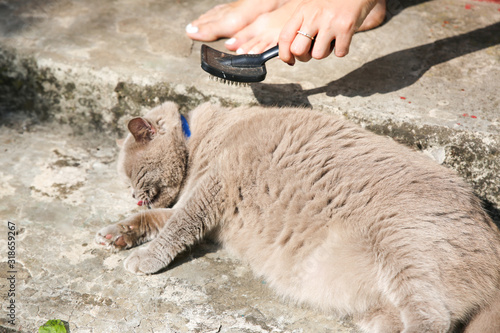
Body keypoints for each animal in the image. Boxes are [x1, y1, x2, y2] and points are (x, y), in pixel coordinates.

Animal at [95, 102, 500, 330]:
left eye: (134, 176)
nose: (133, 198)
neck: (201, 142)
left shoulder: (211, 192)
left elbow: (176, 227)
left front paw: (143, 258)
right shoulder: (211, 217)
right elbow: (160, 220)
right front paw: (119, 232)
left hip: (400, 245)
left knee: (434, 320)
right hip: (379, 305)